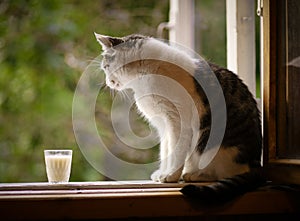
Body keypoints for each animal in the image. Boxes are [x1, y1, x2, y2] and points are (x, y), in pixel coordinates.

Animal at [94, 32, 264, 202]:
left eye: (106, 67)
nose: (108, 82)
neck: (146, 77)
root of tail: (256, 163)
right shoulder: (163, 126)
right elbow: (165, 151)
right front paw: (163, 173)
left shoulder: (178, 121)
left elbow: (176, 151)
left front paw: (171, 175)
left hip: (210, 146)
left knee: (224, 172)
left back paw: (193, 174)